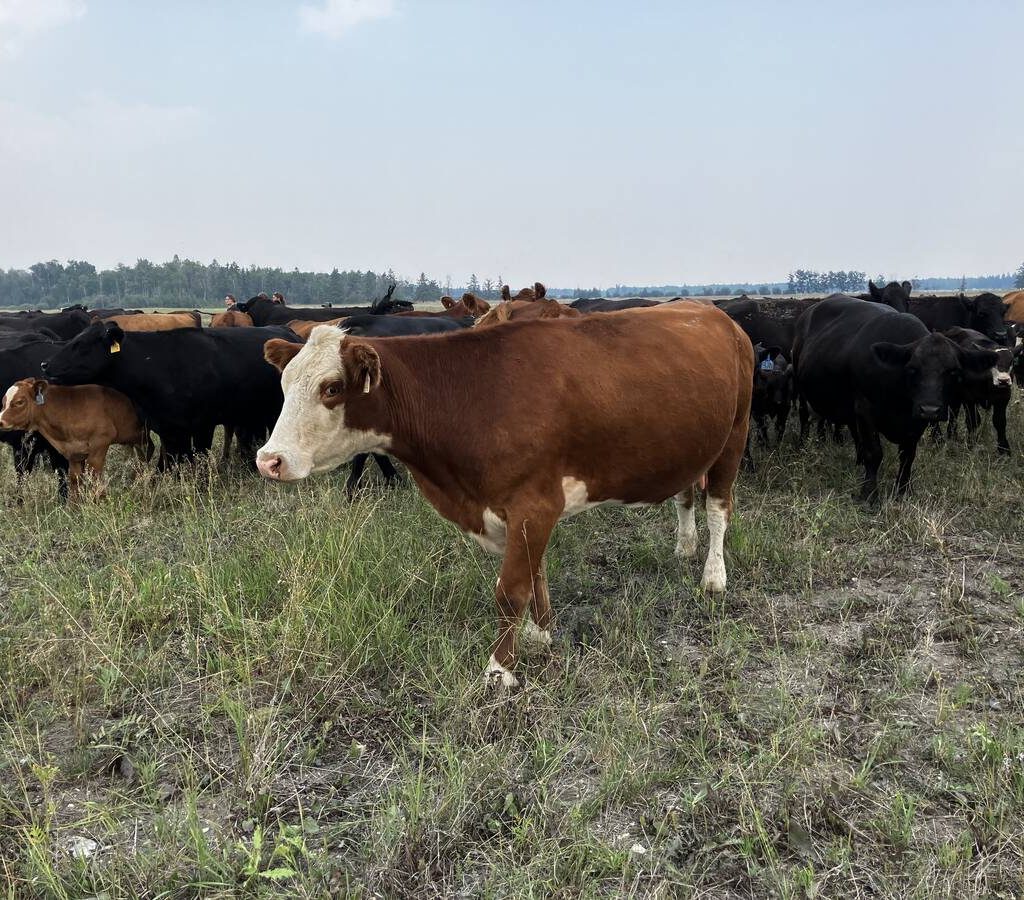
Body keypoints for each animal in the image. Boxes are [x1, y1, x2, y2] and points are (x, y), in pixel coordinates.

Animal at [0, 379, 152, 498]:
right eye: (3, 402)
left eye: (19, 402)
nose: (0, 421)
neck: (69, 409)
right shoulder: (74, 453)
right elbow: (74, 479)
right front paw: (73, 510)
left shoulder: (100, 442)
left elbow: (94, 475)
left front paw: (99, 502)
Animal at [40, 321, 297, 466]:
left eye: (81, 344)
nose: (45, 364)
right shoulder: (166, 427)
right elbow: (171, 462)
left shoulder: (203, 425)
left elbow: (197, 460)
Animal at [255, 304, 753, 688]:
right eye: (284, 384)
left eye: (332, 388)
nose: (269, 460)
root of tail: (712, 311)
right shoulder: (524, 509)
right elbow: (536, 574)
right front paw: (541, 634)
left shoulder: (534, 503)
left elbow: (511, 590)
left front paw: (500, 670)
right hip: (691, 445)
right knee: (686, 496)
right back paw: (685, 545)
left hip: (734, 435)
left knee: (718, 508)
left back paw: (713, 575)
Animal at [793, 295, 998, 502]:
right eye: (912, 368)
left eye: (953, 371)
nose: (930, 409)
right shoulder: (865, 409)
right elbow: (874, 453)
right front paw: (869, 494)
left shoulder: (915, 421)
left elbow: (908, 455)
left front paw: (903, 490)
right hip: (801, 390)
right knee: (804, 416)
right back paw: (802, 446)